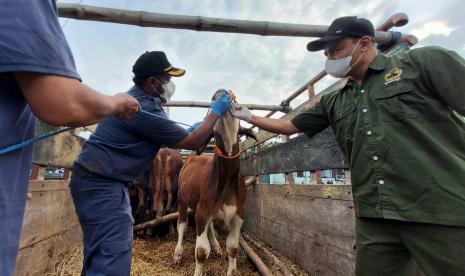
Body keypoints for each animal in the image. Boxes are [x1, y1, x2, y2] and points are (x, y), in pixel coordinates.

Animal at [173, 100, 256, 274]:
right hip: (182, 199)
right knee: (181, 224)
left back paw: (216, 246)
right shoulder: (202, 210)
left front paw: (232, 271)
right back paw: (178, 252)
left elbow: (233, 247)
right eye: (214, 135)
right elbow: (201, 252)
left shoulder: (239, 212)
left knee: (210, 226)